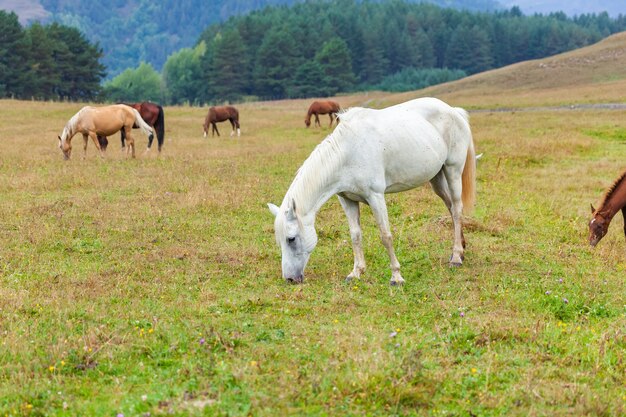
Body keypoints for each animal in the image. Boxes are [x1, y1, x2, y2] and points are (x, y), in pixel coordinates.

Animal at [266, 97, 476, 284]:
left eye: (291, 239)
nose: (290, 279)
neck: (348, 153)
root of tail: (453, 111)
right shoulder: (347, 200)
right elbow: (355, 235)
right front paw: (356, 272)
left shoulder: (375, 196)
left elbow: (385, 235)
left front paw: (396, 277)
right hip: (436, 178)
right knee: (450, 208)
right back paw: (461, 249)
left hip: (452, 171)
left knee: (457, 209)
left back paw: (456, 257)